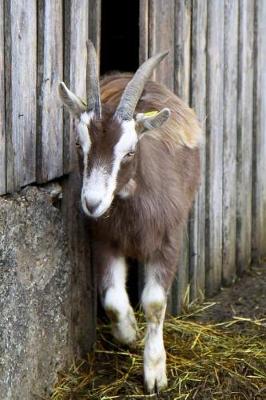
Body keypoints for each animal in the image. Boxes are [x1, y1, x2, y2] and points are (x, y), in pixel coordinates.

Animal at [59, 40, 202, 394]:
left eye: (130, 152)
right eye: (79, 145)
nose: (93, 203)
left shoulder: (168, 239)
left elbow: (154, 303)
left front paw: (155, 373)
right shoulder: (104, 238)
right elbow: (112, 299)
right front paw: (128, 333)